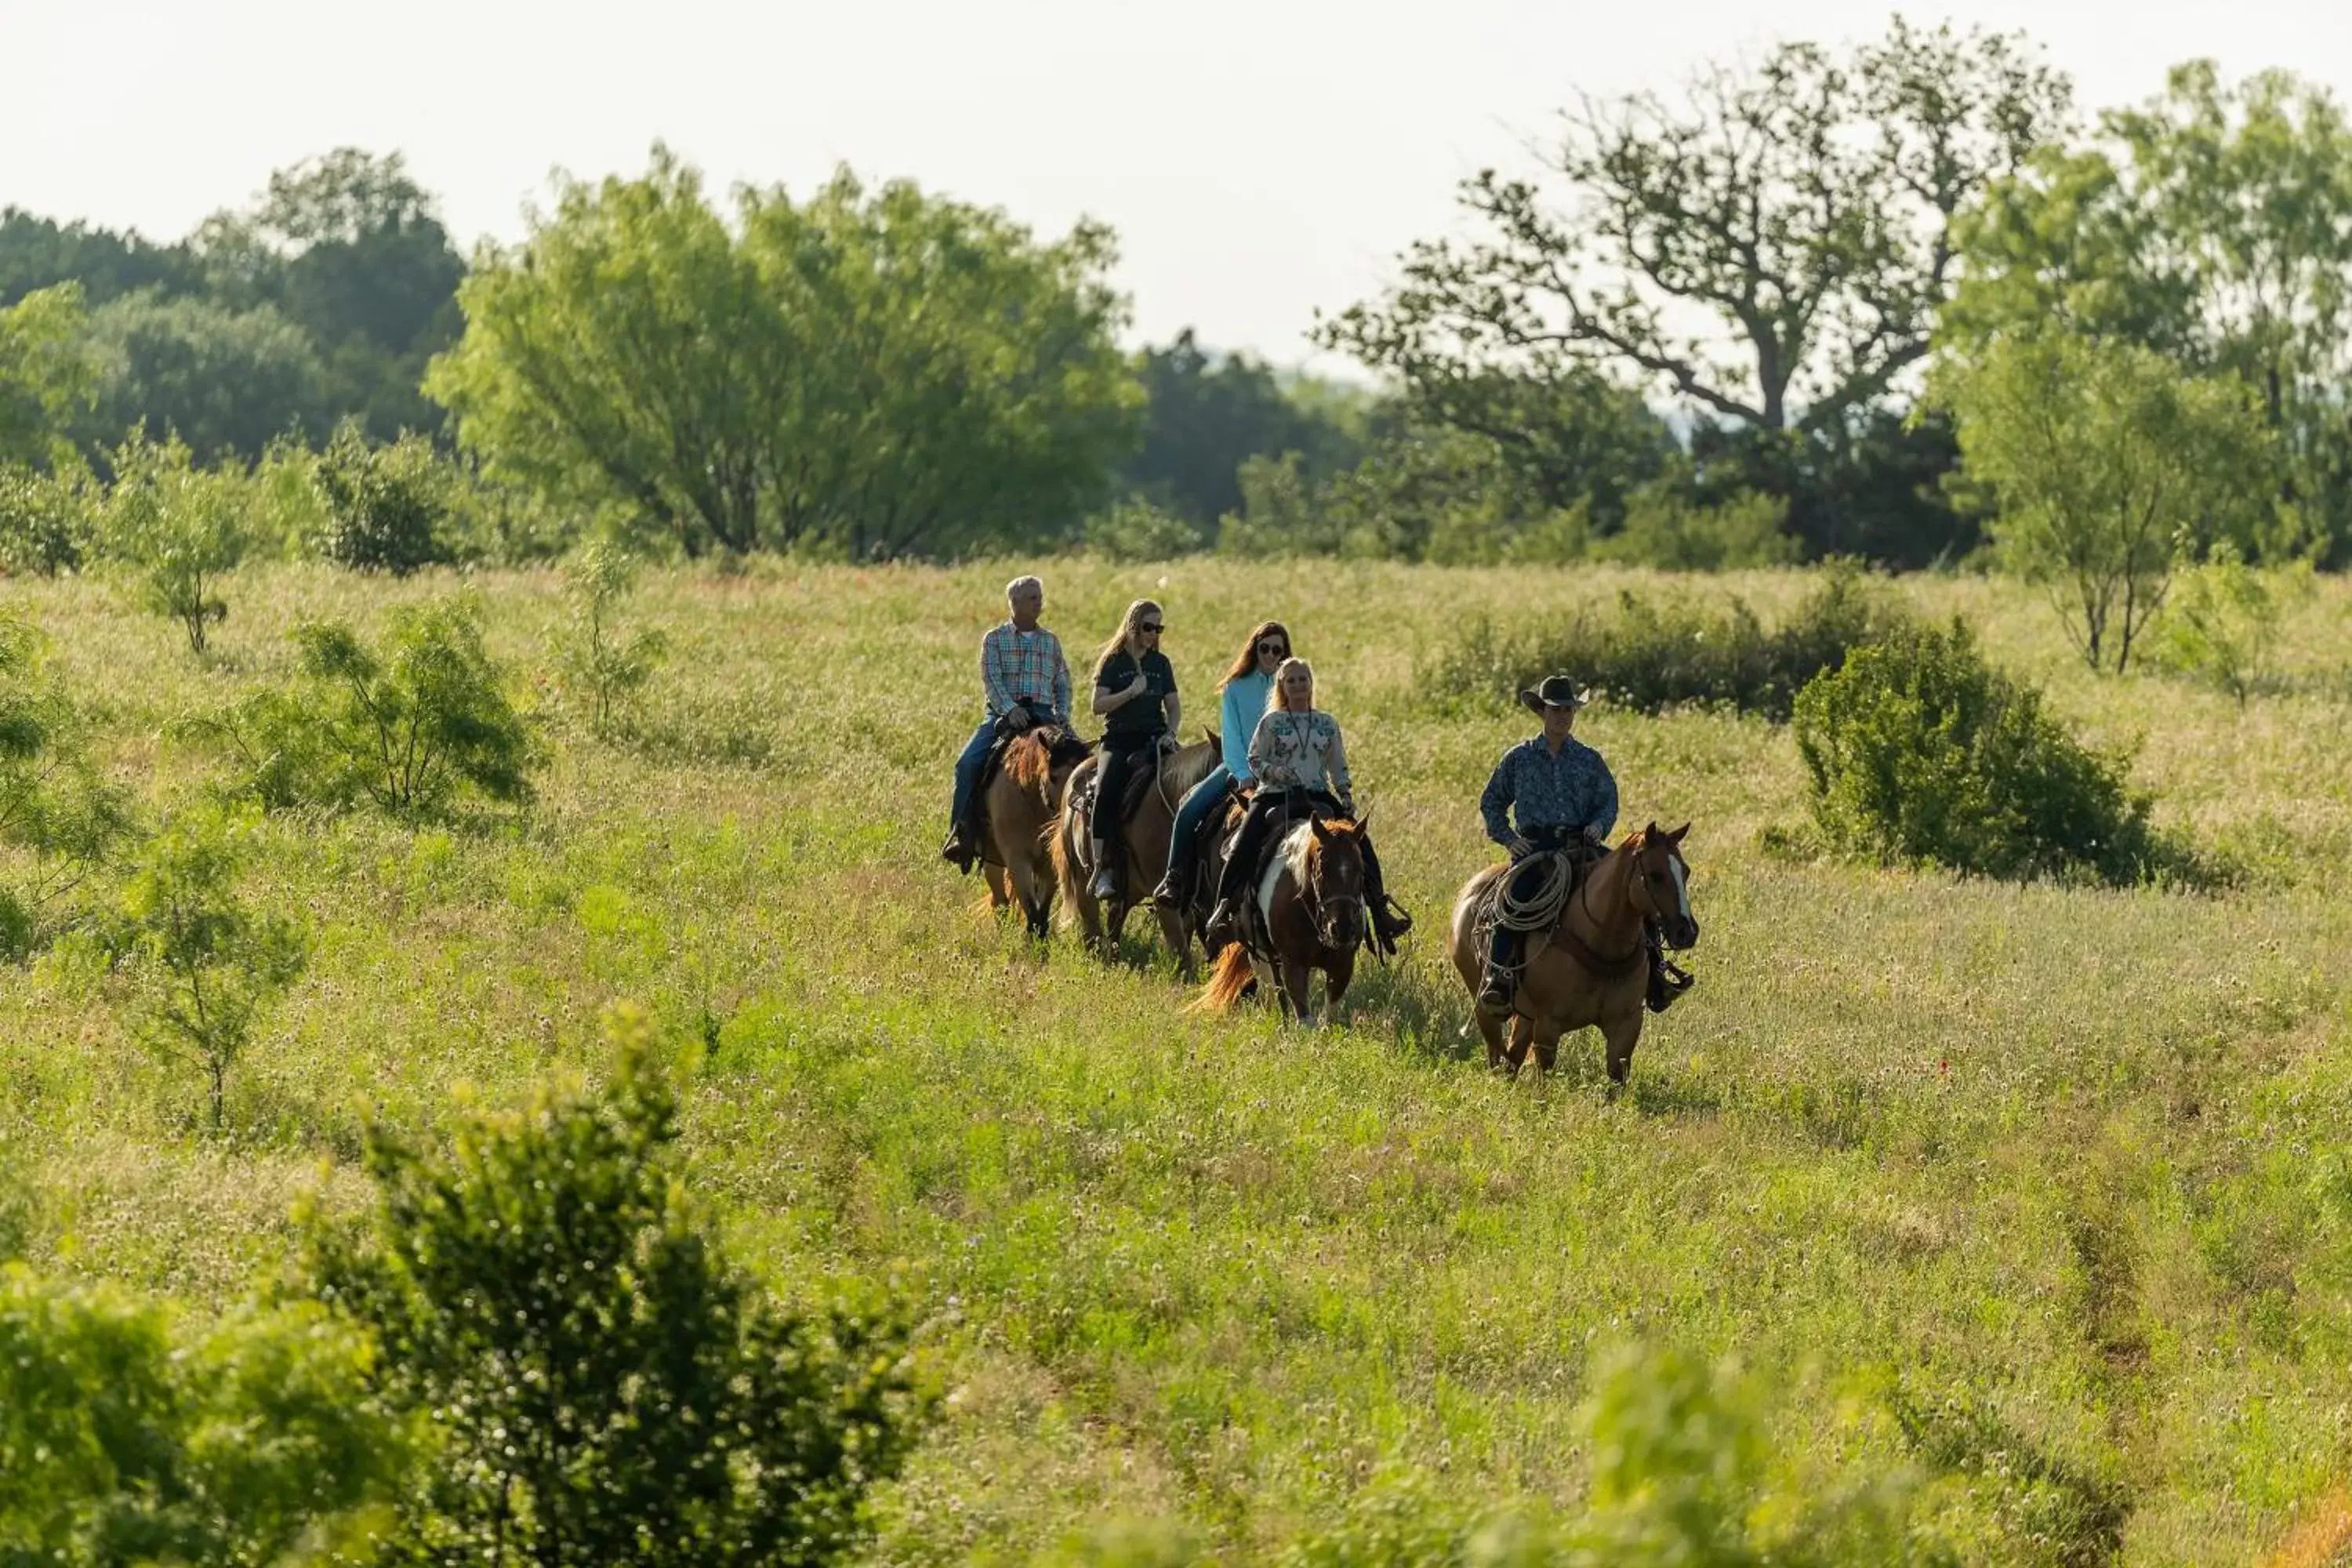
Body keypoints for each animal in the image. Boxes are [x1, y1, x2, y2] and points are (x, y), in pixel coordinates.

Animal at [983, 728, 1091, 940]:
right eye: (1053, 777)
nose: (1068, 816)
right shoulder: (1018, 861)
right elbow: (1031, 909)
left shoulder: (1049, 864)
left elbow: (1042, 910)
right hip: (992, 861)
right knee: (999, 901)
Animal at [1195, 808, 1374, 1029]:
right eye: (1322, 869)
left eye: (1361, 869)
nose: (1342, 929)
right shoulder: (1294, 965)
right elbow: (1305, 1019)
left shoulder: (1343, 965)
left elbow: (1329, 1020)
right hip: (1260, 953)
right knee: (1271, 990)